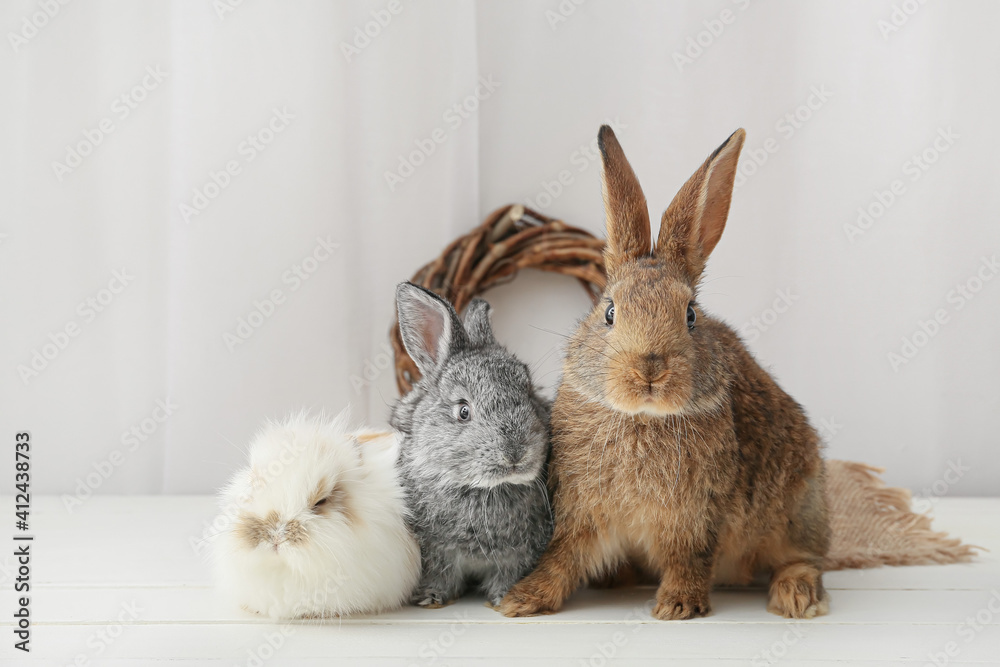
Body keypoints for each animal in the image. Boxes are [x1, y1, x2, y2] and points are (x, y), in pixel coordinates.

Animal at [391, 282, 554, 608]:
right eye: (463, 411)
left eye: (529, 393)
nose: (515, 453)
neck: (484, 488)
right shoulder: (436, 553)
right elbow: (441, 575)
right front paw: (431, 598)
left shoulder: (520, 555)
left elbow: (508, 575)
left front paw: (503, 598)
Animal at [499, 126, 831, 621]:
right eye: (609, 312)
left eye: (690, 315)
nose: (649, 369)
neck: (641, 418)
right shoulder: (580, 513)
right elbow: (562, 557)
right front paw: (521, 600)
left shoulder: (695, 520)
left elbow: (688, 560)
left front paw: (677, 605)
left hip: (798, 506)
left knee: (803, 558)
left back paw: (796, 596)